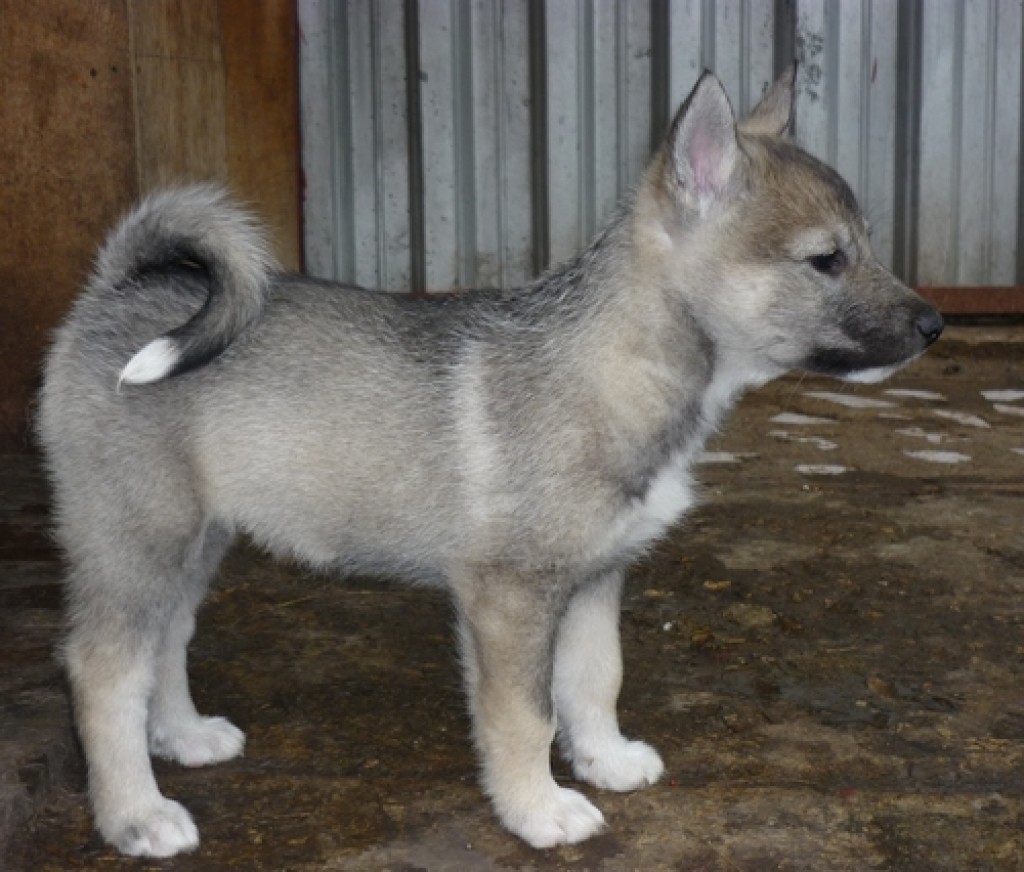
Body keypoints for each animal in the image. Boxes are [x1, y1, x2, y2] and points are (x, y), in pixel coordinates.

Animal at [39, 69, 937, 859]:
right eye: (826, 260)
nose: (933, 326)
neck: (625, 367)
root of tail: (118, 288)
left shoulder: (593, 580)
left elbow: (594, 682)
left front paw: (605, 760)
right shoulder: (508, 594)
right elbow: (526, 715)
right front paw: (539, 809)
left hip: (194, 541)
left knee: (167, 640)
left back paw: (185, 736)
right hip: (138, 539)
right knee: (102, 672)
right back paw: (137, 815)